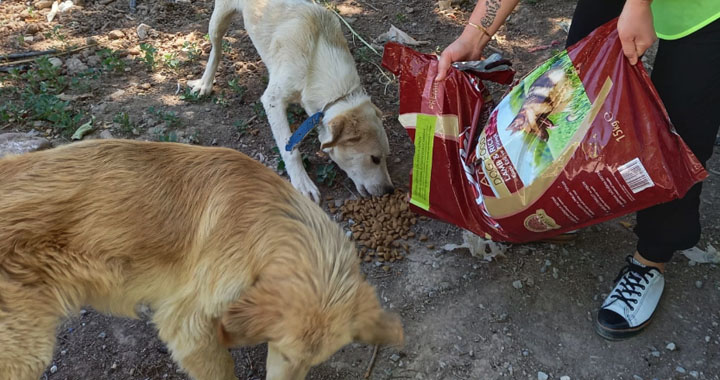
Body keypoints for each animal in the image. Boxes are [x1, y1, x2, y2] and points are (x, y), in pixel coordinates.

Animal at [190, 0, 394, 202]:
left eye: (386, 156)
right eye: (374, 158)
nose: (390, 190)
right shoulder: (273, 101)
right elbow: (290, 150)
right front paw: (302, 183)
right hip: (218, 20)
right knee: (216, 49)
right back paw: (205, 83)